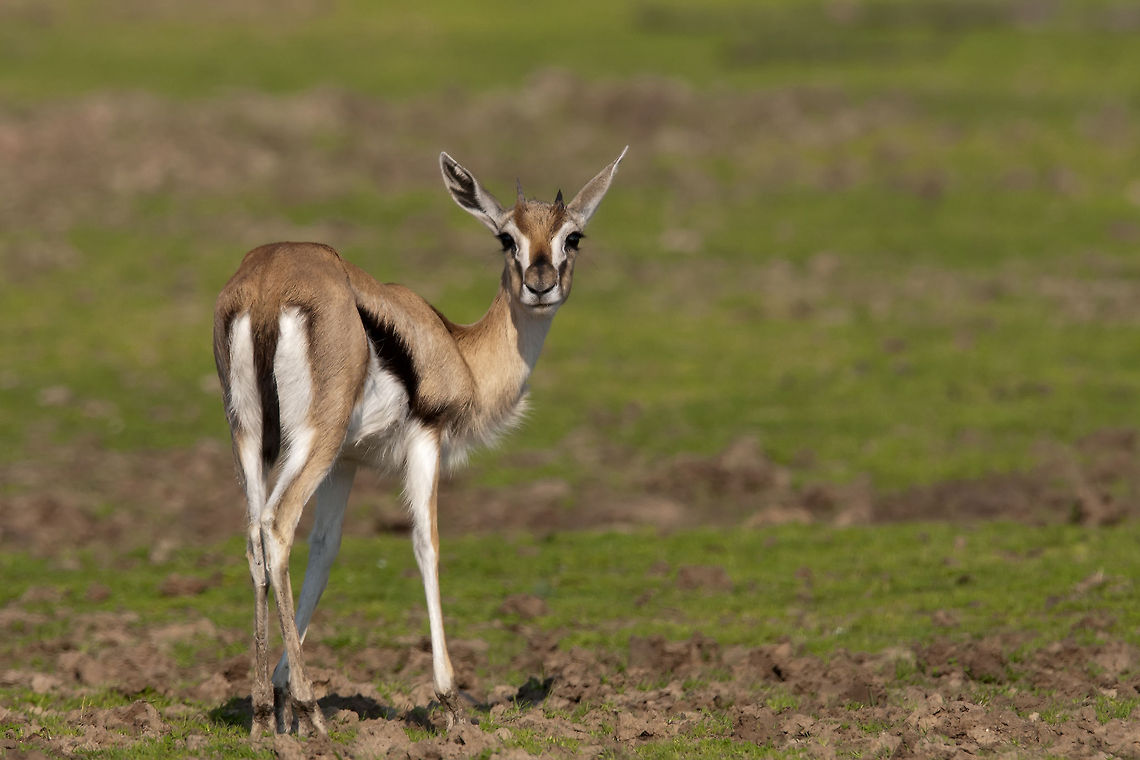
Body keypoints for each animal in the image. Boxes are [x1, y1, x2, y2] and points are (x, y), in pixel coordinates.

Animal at [212, 148, 627, 737]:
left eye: (573, 236)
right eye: (507, 237)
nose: (540, 284)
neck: (458, 349)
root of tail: (270, 284)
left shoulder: (346, 465)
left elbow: (326, 550)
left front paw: (283, 697)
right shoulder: (424, 442)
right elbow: (425, 544)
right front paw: (451, 703)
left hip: (248, 439)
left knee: (255, 537)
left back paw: (264, 715)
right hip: (314, 439)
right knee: (276, 525)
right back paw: (314, 711)